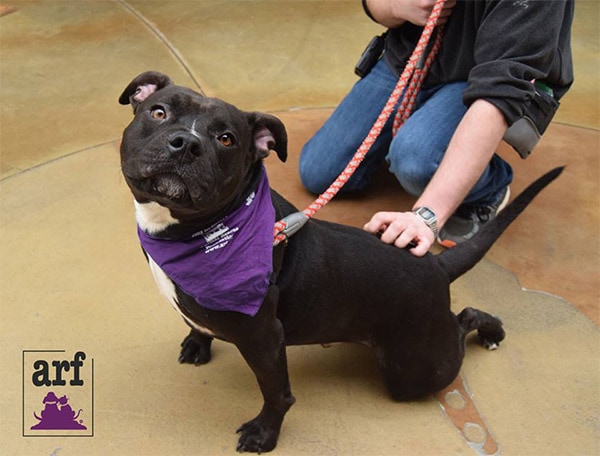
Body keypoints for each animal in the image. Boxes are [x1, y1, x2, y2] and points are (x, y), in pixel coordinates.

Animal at [118, 72, 564, 452]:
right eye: (158, 112)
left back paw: (492, 330)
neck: (193, 232)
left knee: (465, 319)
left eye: (226, 139)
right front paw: (198, 340)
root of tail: (434, 266)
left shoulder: (264, 338)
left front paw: (265, 433)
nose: (186, 143)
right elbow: (196, 321)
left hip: (416, 367)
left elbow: (277, 393)